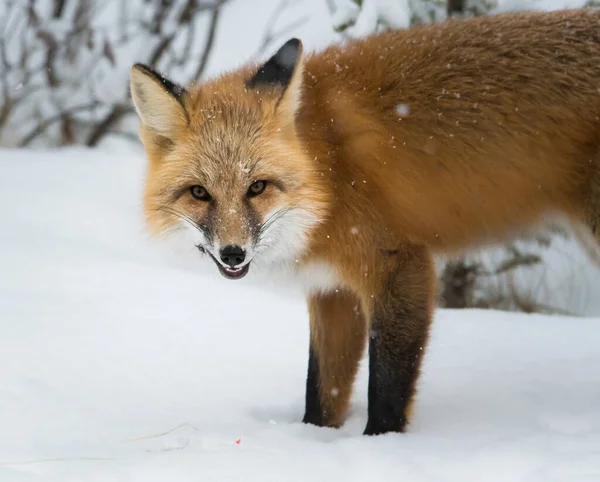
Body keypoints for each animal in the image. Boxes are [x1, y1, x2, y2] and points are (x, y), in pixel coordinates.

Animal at [134, 9, 600, 434]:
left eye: (258, 187)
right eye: (199, 193)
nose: (233, 253)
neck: (326, 174)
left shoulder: (400, 264)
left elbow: (387, 390)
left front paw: (381, 447)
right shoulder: (332, 290)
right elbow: (323, 394)